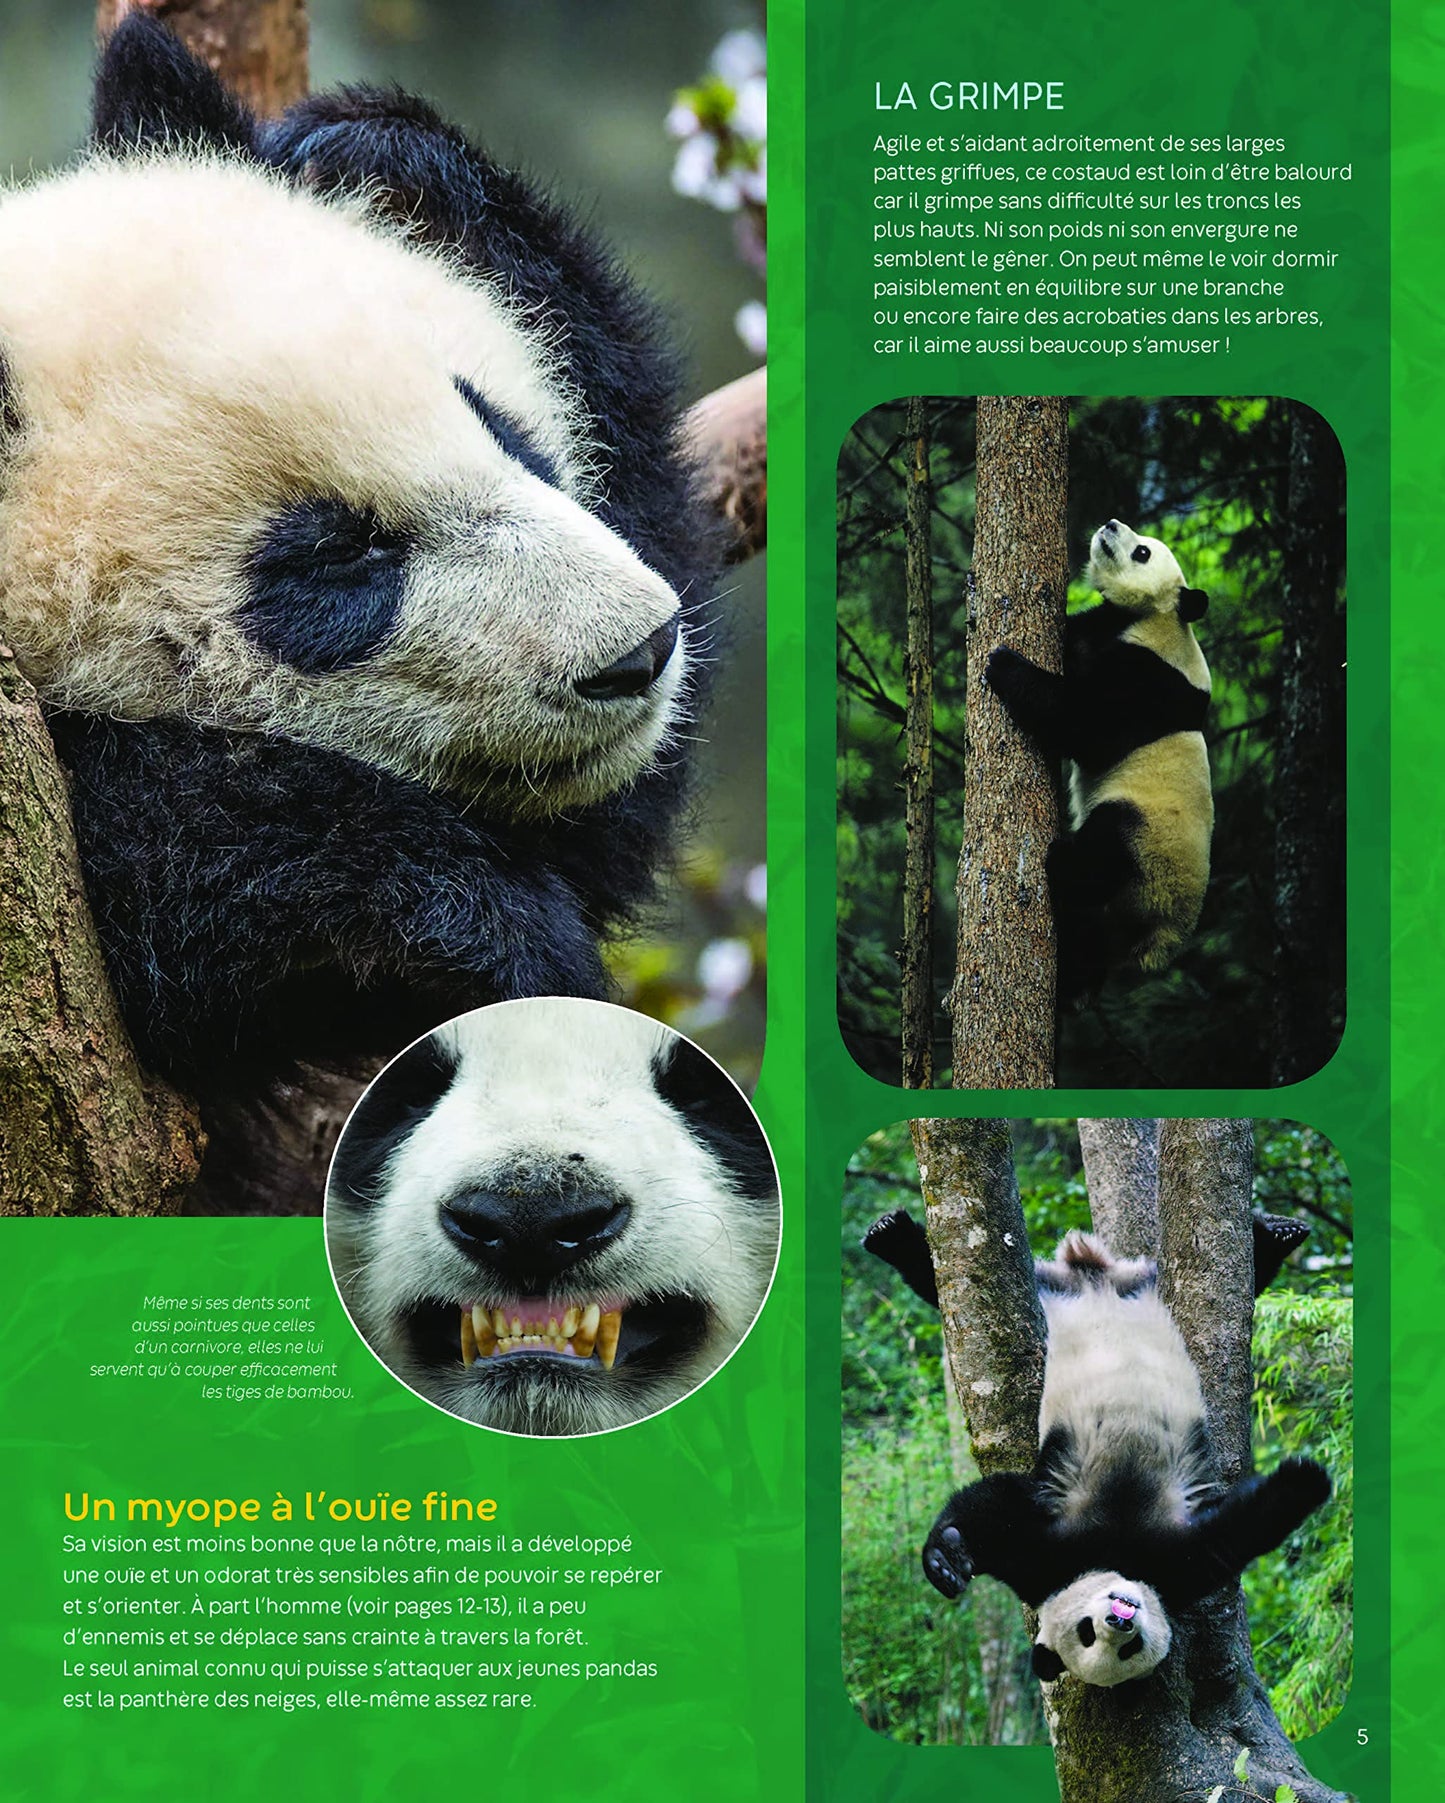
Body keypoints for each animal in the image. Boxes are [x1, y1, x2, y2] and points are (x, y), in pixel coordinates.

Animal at [864, 1215, 1329, 1687]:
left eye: (1125, 1645)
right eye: (1091, 1637)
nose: (1120, 1619)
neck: (1114, 1553)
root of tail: (1095, 1276)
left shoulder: (1162, 1564)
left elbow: (1242, 1528)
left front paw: (1306, 1478)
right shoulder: (1072, 1555)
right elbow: (997, 1506)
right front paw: (948, 1560)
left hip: (1095, 1289)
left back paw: (1278, 1234)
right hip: (1062, 1289)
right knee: (935, 1278)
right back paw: (891, 1237)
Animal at [985, 519, 1213, 1003]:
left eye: (1143, 552)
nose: (1110, 524)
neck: (1157, 617)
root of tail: (1162, 938)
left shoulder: (1150, 677)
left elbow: (1086, 726)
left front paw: (1005, 664)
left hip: (1149, 847)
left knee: (1102, 851)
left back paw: (1062, 863)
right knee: (1089, 939)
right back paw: (1073, 987)